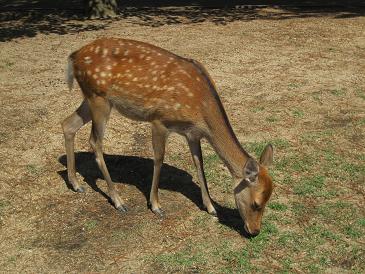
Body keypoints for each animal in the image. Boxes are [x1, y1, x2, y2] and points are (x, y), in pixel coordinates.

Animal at [61, 37, 272, 237]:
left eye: (269, 200)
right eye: (256, 203)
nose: (255, 231)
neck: (200, 107)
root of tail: (74, 55)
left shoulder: (192, 133)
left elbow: (199, 164)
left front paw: (211, 207)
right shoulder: (159, 120)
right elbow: (159, 159)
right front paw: (155, 205)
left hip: (91, 98)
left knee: (68, 124)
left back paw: (76, 184)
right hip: (99, 98)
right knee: (95, 142)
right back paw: (118, 201)